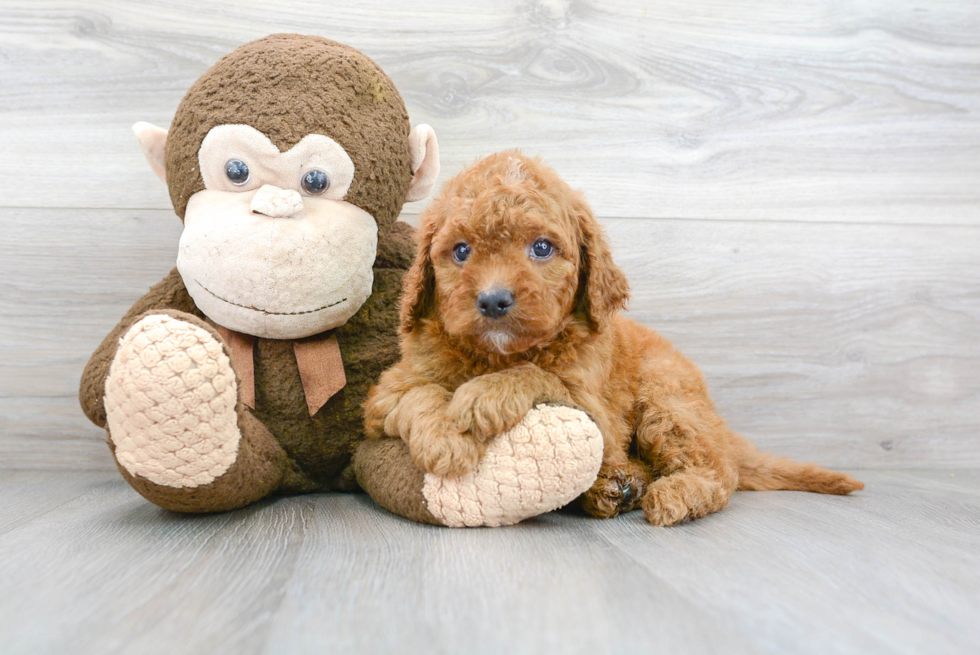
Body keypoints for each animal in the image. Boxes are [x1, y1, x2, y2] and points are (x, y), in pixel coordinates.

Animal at [368, 150, 864, 528]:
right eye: (461, 251)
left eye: (542, 248)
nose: (493, 301)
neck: (494, 355)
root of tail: (721, 426)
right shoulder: (386, 394)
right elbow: (420, 393)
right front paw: (444, 437)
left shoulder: (597, 409)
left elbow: (538, 375)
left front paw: (481, 398)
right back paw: (617, 488)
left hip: (667, 399)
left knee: (718, 471)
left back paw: (671, 494)